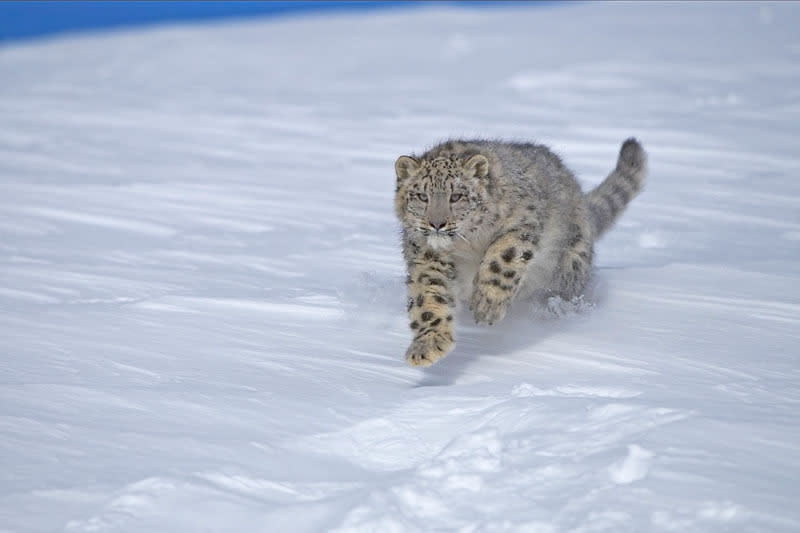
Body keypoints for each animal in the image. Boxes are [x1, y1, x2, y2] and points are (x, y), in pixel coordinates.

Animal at [396, 138, 648, 366]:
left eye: (456, 196)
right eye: (422, 196)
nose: (436, 224)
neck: (466, 246)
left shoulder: (521, 224)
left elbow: (501, 260)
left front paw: (486, 306)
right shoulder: (427, 256)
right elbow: (429, 297)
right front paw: (426, 347)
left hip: (570, 266)